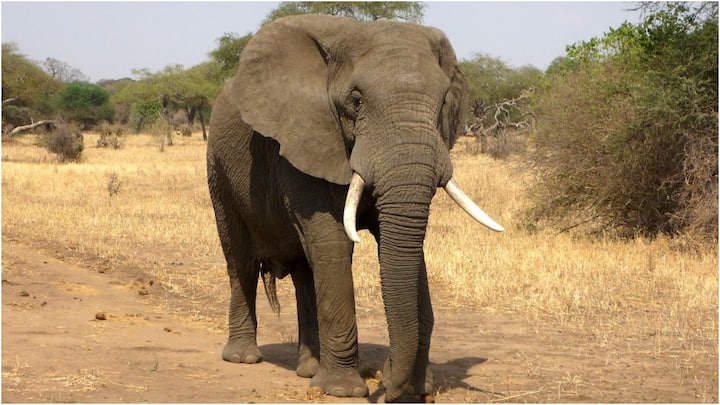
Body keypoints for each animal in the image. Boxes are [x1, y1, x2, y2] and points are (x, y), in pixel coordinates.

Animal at [206, 14, 504, 402]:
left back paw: (309, 369)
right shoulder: (303, 140)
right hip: (218, 168)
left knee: (305, 270)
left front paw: (416, 388)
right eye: (357, 100)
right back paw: (244, 358)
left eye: (442, 103)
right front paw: (342, 391)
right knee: (240, 259)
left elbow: (404, 247)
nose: (388, 385)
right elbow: (333, 241)